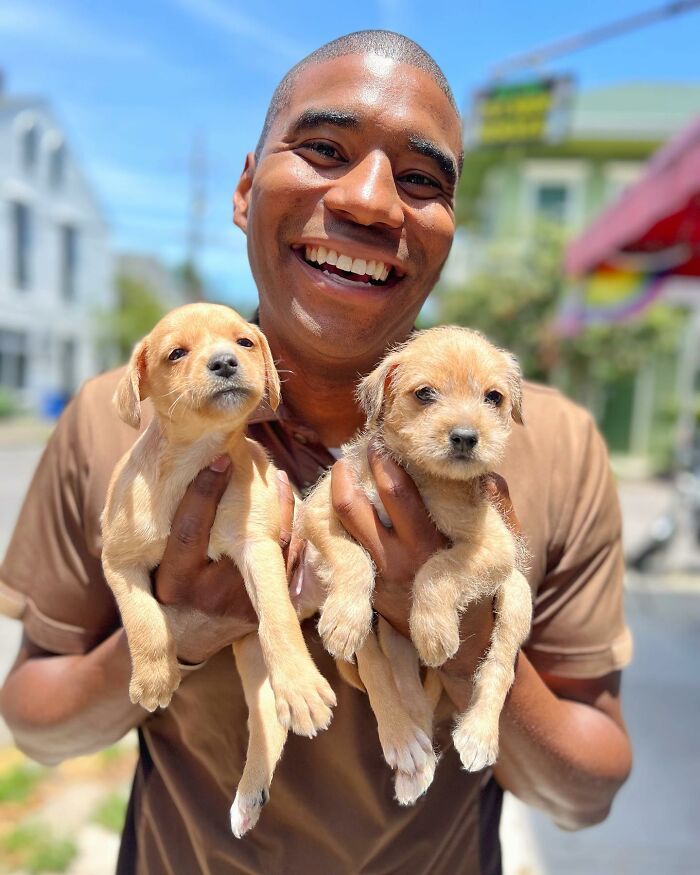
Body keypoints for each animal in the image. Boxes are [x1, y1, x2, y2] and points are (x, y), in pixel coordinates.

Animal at [100, 308, 336, 836]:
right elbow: (143, 620)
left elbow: (278, 620)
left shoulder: (258, 547)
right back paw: (250, 794)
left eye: (244, 342)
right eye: (176, 353)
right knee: (267, 715)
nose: (226, 362)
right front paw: (153, 678)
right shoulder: (119, 560)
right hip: (248, 655)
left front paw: (302, 685)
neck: (192, 463)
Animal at [298, 326, 532, 800]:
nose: (465, 437)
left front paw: (434, 629)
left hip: (517, 595)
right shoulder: (322, 513)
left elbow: (436, 570)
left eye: (493, 397)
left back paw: (477, 734)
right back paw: (409, 751)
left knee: (499, 665)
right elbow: (354, 559)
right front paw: (345, 616)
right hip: (387, 634)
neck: (423, 477)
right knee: (393, 681)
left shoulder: (494, 546)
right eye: (425, 394)